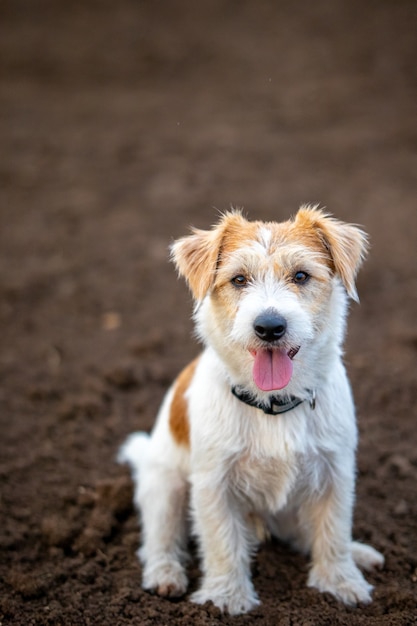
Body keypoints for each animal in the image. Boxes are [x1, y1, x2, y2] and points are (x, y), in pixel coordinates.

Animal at [118, 206, 384, 616]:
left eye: (301, 275)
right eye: (239, 279)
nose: (269, 326)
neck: (273, 404)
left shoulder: (334, 472)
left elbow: (333, 530)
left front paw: (341, 582)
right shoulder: (214, 484)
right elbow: (222, 543)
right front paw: (226, 597)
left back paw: (359, 554)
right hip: (165, 487)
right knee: (159, 540)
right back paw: (165, 575)